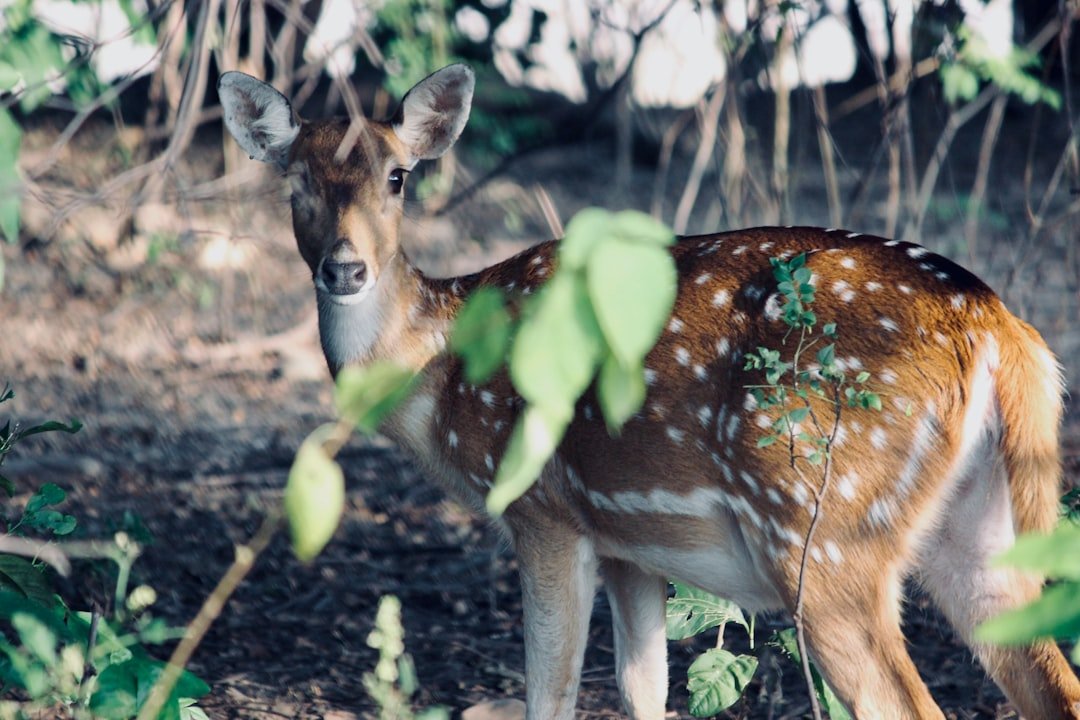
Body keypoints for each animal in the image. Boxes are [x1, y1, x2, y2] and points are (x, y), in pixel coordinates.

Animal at [217, 64, 1080, 716]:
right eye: (295, 183)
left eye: (398, 177)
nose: (345, 268)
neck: (441, 372)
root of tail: (1001, 329)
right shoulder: (630, 542)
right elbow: (644, 692)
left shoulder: (546, 509)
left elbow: (552, 697)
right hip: (979, 532)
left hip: (825, 527)